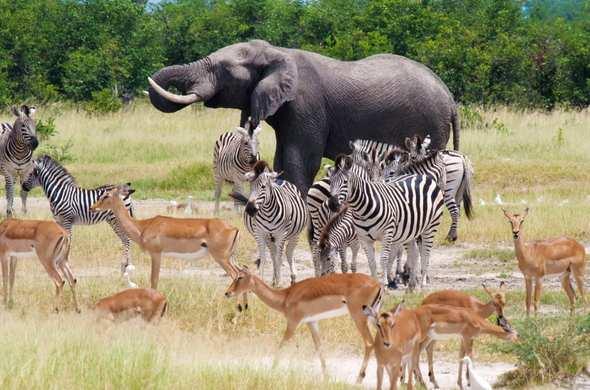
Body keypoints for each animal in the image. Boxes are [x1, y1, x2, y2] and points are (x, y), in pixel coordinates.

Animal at [21, 155, 137, 286]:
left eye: (31, 173)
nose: (22, 186)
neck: (59, 193)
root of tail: (125, 190)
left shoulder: (67, 221)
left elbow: (67, 243)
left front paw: (65, 267)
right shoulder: (59, 221)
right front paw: (59, 266)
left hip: (116, 219)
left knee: (126, 240)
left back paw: (124, 268)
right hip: (113, 220)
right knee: (126, 239)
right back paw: (127, 268)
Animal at [91, 187, 247, 310]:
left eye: (106, 195)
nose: (92, 207)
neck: (143, 227)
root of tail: (234, 228)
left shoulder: (156, 254)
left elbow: (154, 279)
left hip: (221, 258)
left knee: (235, 275)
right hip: (230, 258)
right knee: (243, 273)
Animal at [148, 38, 462, 194]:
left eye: (223, 69)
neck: (276, 53)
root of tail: (450, 99)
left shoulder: (305, 106)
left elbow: (300, 158)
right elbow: (281, 158)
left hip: (429, 124)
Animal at [225, 266, 384, 382]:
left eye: (239, 277)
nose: (227, 293)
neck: (285, 297)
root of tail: (378, 284)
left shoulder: (292, 323)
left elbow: (282, 344)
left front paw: (271, 371)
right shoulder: (312, 322)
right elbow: (319, 347)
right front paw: (326, 377)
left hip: (359, 317)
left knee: (369, 343)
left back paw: (359, 379)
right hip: (373, 318)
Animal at [328, 153, 444, 290]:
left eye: (345, 182)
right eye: (330, 182)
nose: (332, 204)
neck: (362, 209)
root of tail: (421, 176)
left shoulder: (387, 234)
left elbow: (384, 258)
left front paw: (384, 284)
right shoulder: (364, 239)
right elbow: (371, 262)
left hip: (431, 226)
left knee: (425, 253)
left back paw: (422, 285)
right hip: (410, 230)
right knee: (414, 253)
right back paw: (411, 286)